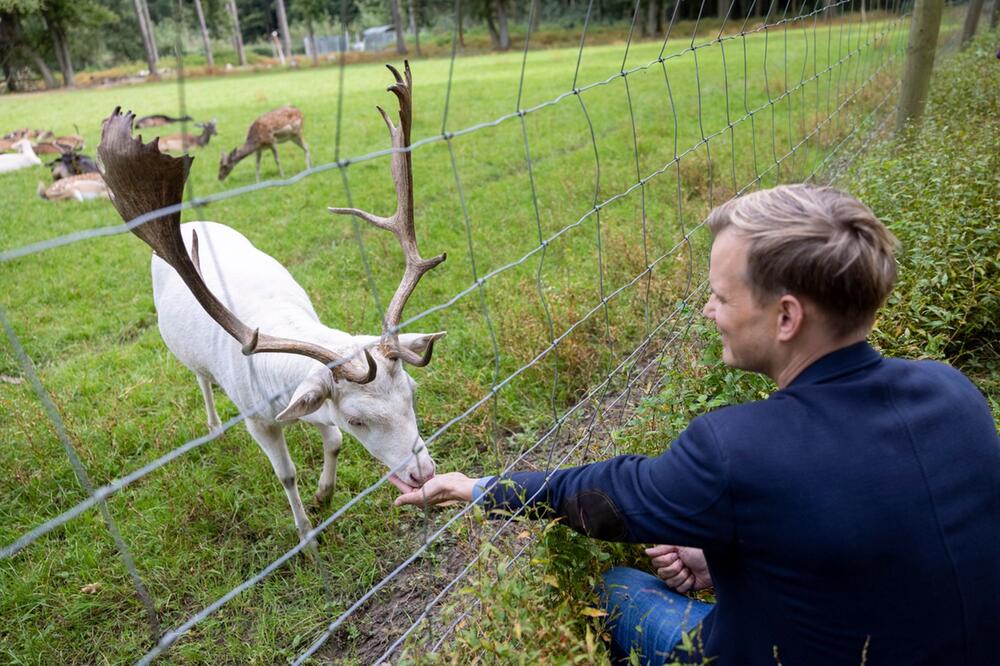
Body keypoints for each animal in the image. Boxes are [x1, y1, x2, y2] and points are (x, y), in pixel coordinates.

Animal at [98, 62, 446, 548]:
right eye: (358, 419)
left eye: (412, 393)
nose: (424, 472)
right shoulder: (259, 420)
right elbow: (286, 475)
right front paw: (306, 536)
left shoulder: (309, 401)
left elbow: (332, 441)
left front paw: (324, 495)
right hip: (185, 354)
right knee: (200, 378)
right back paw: (212, 427)